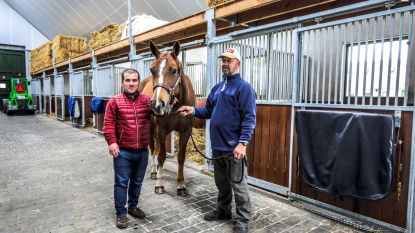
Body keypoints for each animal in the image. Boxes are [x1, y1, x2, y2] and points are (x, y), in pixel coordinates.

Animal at [139, 41, 196, 196]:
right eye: (152, 69)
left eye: (174, 70)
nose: (157, 104)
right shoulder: (161, 129)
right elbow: (161, 155)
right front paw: (159, 184)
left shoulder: (186, 131)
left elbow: (181, 157)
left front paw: (181, 185)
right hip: (152, 129)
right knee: (153, 149)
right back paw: (154, 172)